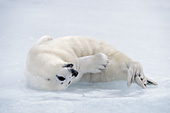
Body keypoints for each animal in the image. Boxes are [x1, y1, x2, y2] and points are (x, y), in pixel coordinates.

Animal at [24, 35, 157, 90]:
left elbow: (43, 39)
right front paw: (101, 61)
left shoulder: (39, 48)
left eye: (60, 77)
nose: (74, 73)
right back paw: (141, 80)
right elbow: (81, 64)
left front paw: (48, 37)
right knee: (122, 69)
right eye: (66, 82)